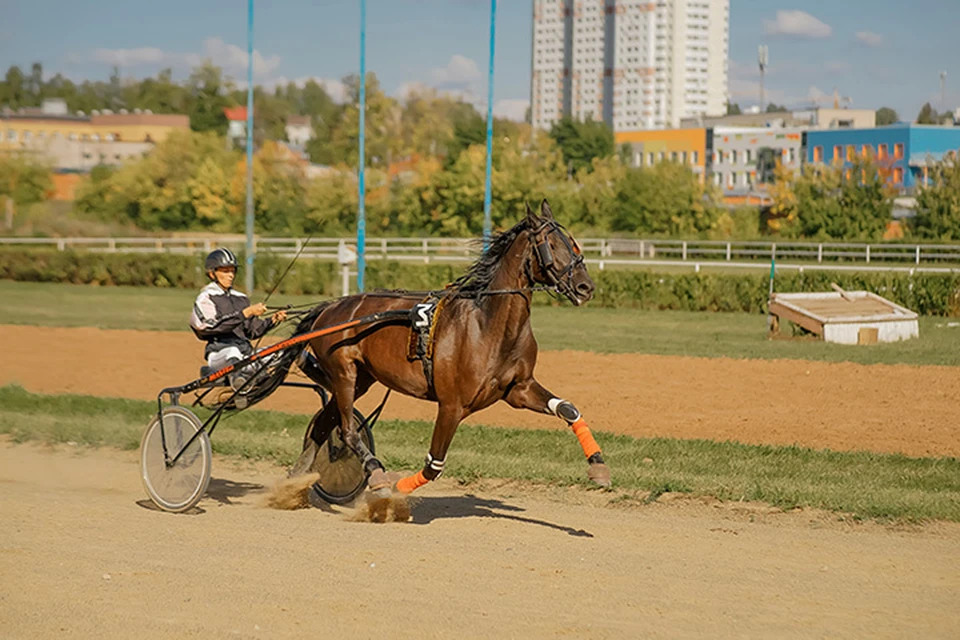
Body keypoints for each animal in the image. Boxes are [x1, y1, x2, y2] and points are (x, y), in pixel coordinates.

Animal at [288, 200, 612, 500]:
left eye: (573, 244)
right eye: (551, 244)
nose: (585, 287)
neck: (488, 326)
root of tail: (329, 307)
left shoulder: (518, 389)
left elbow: (568, 409)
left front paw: (598, 466)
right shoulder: (451, 405)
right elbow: (434, 465)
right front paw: (395, 489)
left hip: (361, 379)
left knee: (323, 426)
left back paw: (296, 479)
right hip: (344, 373)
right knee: (346, 430)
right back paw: (374, 473)